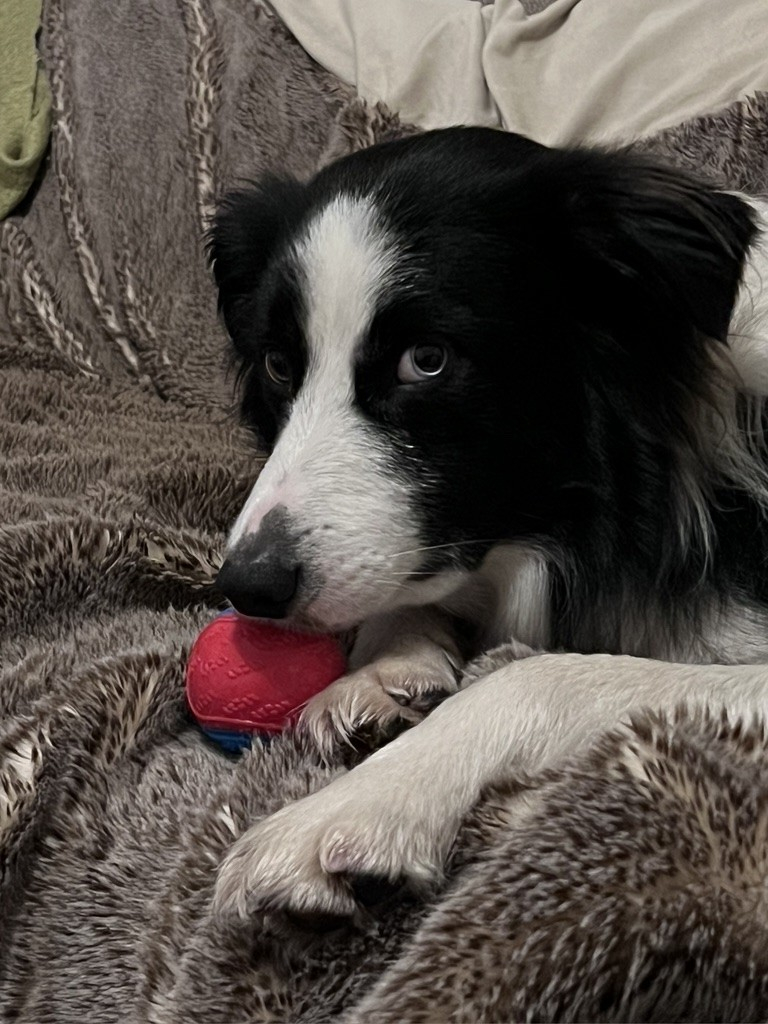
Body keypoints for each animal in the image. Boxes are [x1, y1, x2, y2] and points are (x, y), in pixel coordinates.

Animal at [207, 125, 768, 921]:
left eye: (427, 360)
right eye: (281, 365)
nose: (249, 586)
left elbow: (542, 676)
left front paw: (359, 803)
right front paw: (383, 672)